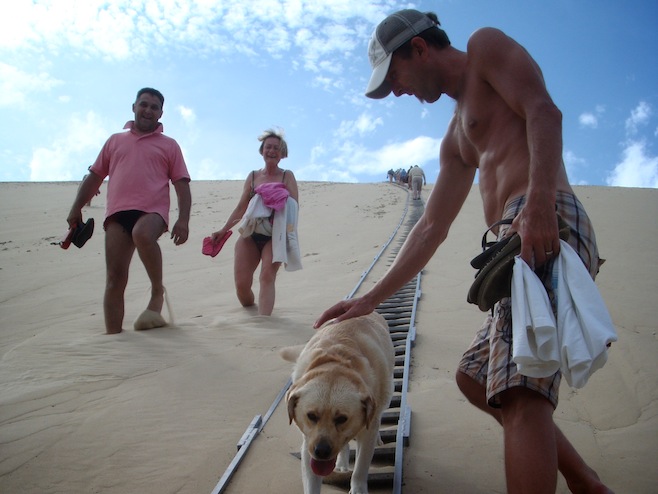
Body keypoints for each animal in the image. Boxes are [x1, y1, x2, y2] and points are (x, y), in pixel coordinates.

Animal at [280, 312, 392, 494]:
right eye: (311, 416)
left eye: (342, 419)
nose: (321, 451)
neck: (337, 362)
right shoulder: (308, 442)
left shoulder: (367, 432)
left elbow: (360, 468)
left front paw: (358, 488)